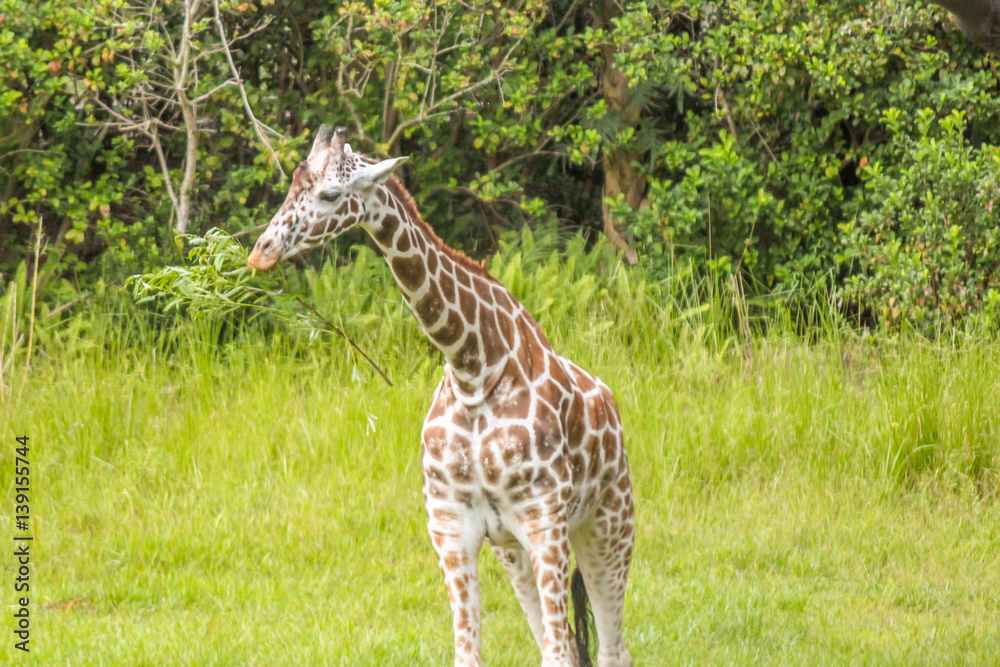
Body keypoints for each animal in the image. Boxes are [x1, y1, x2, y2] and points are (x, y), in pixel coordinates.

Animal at [247, 125, 635, 667]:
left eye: (330, 195)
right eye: (291, 186)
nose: (260, 252)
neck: (475, 369)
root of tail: (611, 405)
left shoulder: (545, 523)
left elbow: (560, 653)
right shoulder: (451, 527)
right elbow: (469, 654)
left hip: (608, 525)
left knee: (611, 648)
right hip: (514, 550)